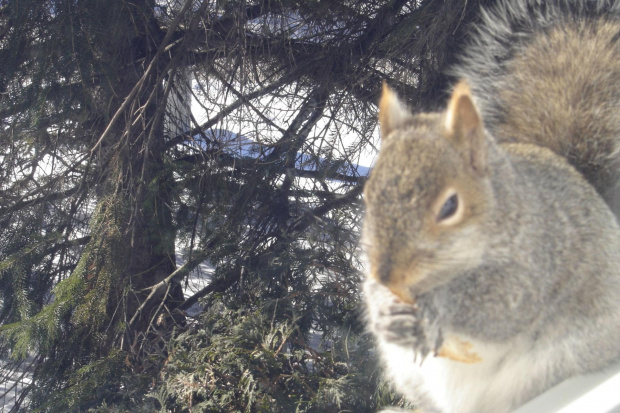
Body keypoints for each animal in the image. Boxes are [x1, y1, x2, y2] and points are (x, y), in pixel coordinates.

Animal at [364, 0, 620, 412]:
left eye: (450, 206)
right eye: (367, 195)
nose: (388, 276)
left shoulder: (538, 257)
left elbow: (501, 304)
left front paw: (439, 307)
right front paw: (383, 309)